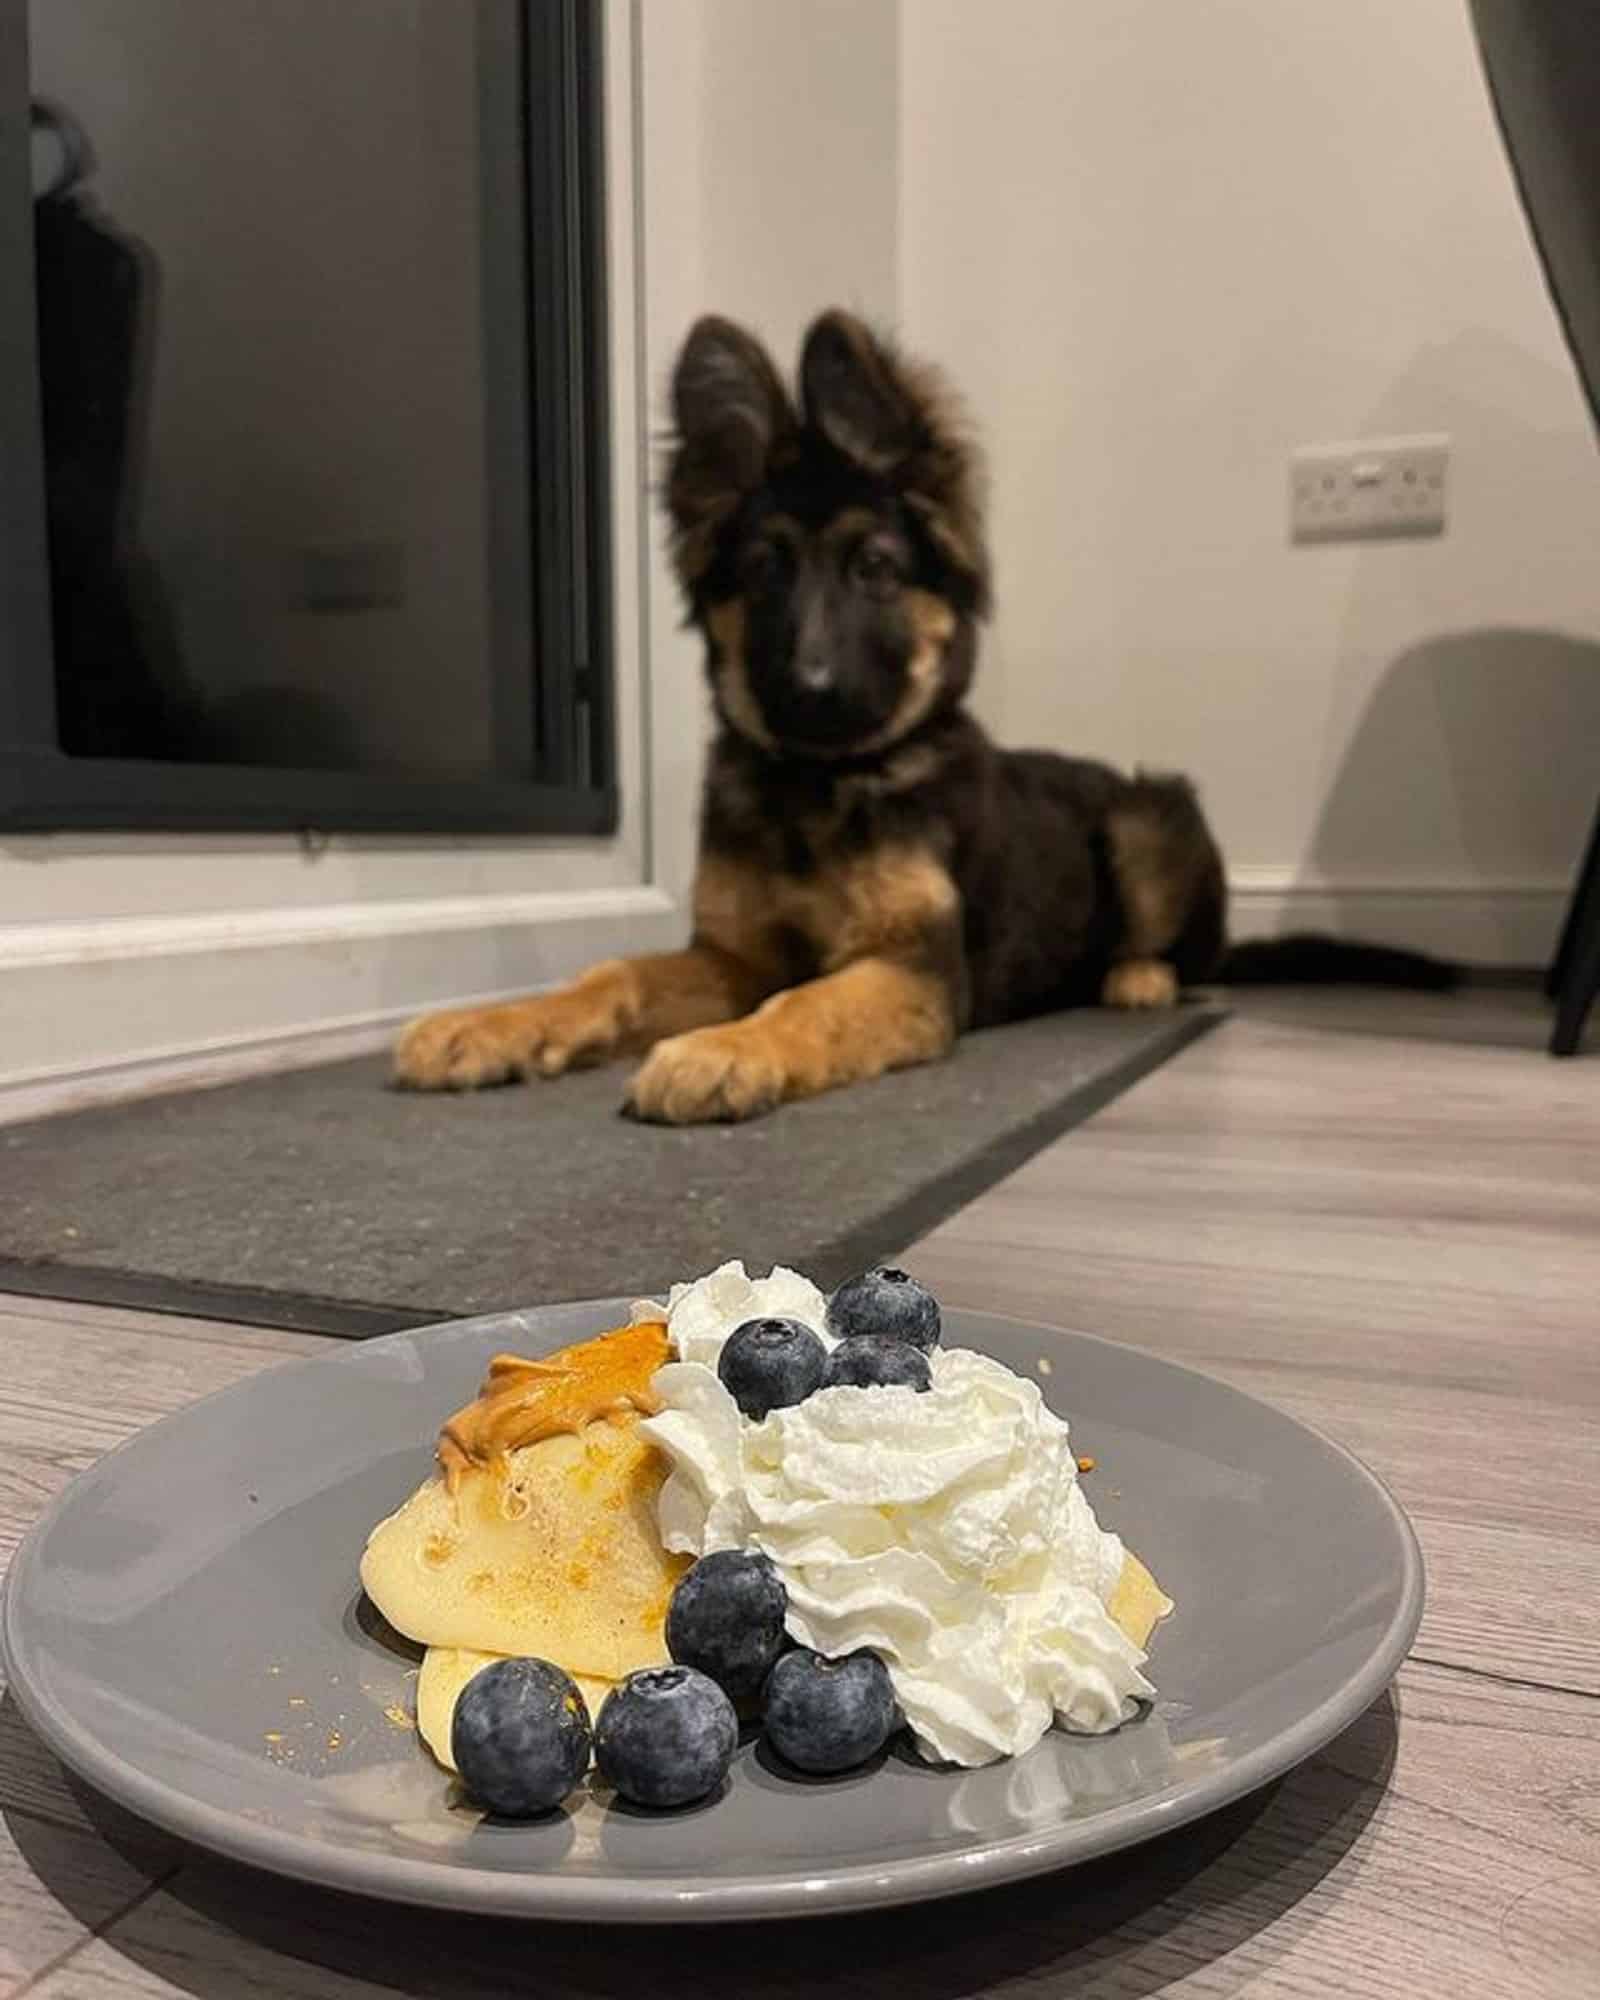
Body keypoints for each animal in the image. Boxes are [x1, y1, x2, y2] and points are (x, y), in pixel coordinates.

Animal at [396, 312, 1440, 1128]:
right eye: (765, 571)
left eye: (877, 570)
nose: (811, 690)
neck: (817, 790)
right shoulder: (729, 955)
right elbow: (615, 974)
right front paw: (492, 1023)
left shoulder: (911, 969)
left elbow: (807, 1000)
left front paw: (723, 1049)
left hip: (1149, 818)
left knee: (1186, 956)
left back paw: (1135, 977)